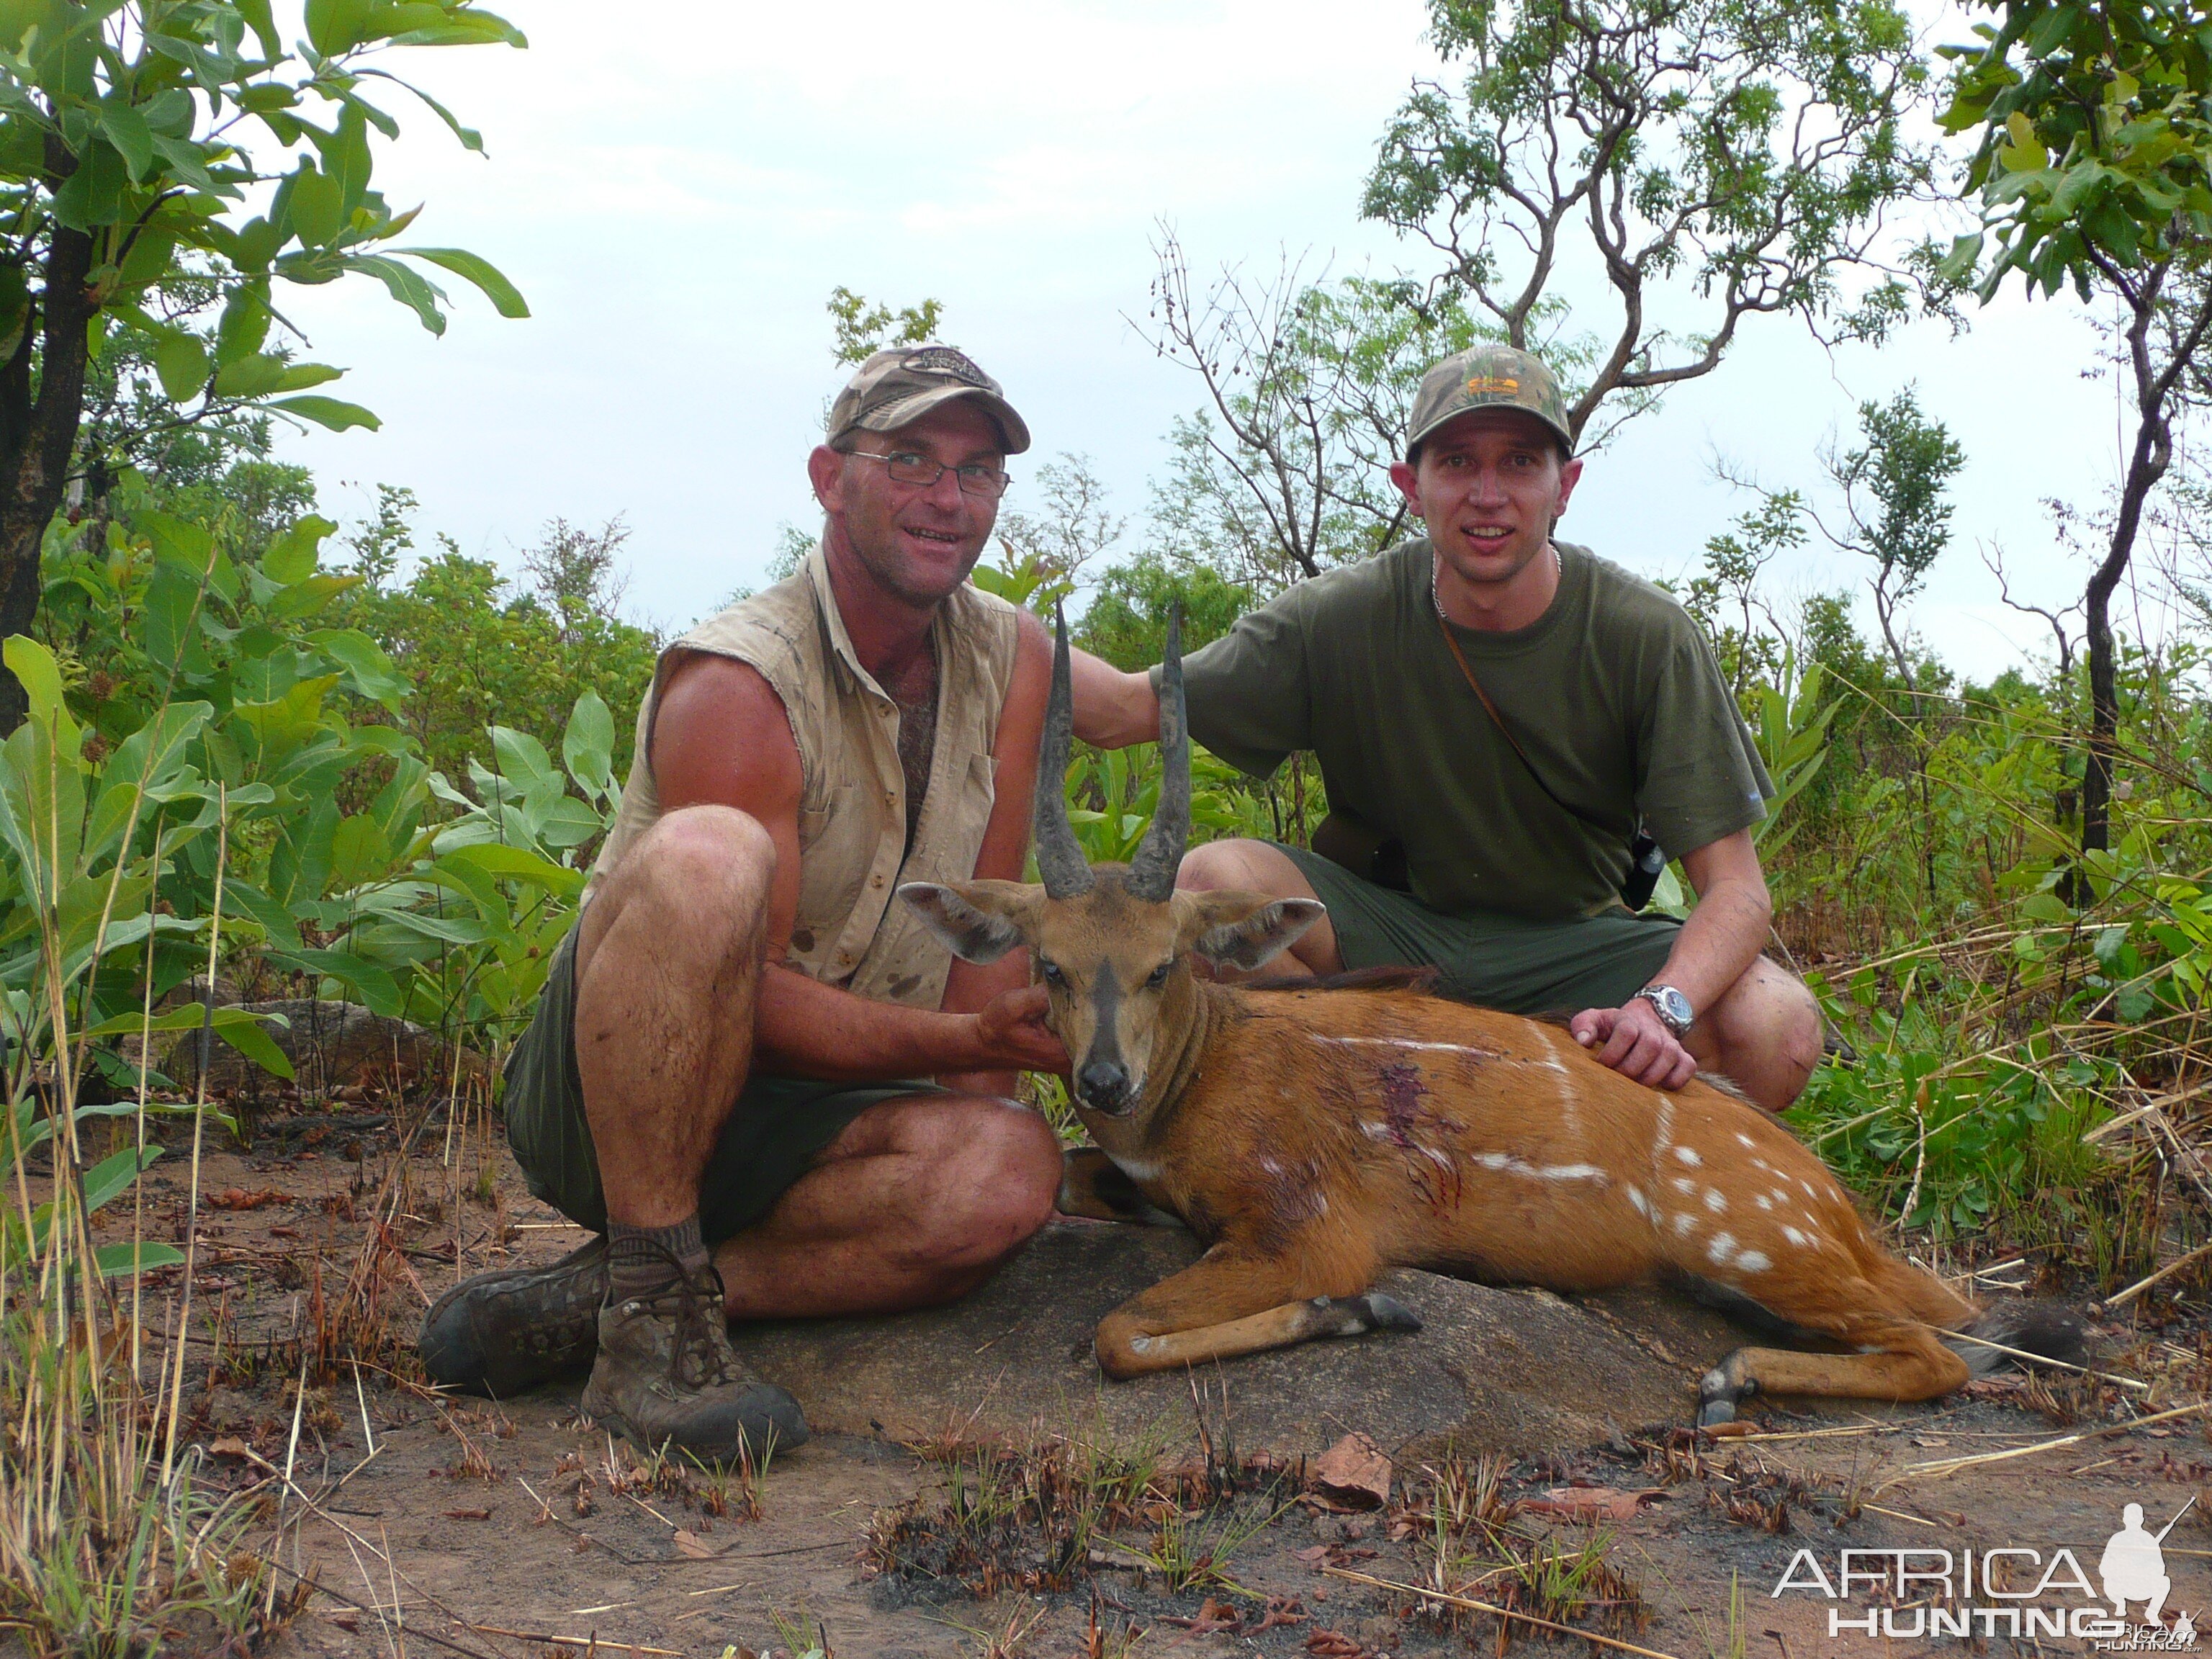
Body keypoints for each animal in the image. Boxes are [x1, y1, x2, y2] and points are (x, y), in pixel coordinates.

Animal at [898, 615, 2070, 1433]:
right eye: (1049, 965)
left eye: (1161, 965)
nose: (1103, 1084)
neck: (1196, 1080)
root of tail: (1840, 1208)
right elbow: (1076, 1200)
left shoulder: (1305, 1227)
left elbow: (1117, 1331)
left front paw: (1369, 1312)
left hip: (1756, 1246)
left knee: (1944, 1351)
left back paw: (1727, 1381)